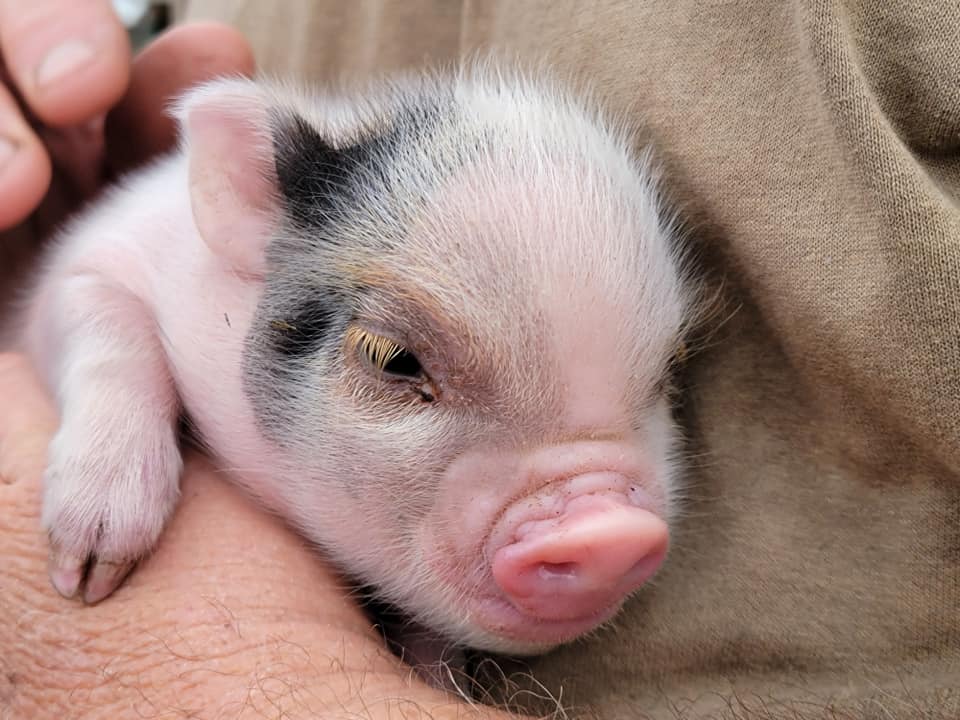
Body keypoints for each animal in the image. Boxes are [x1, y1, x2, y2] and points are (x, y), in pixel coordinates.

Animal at [12, 64, 695, 657]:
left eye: (668, 373)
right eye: (392, 358)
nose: (608, 530)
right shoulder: (77, 270)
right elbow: (104, 325)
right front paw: (86, 578)